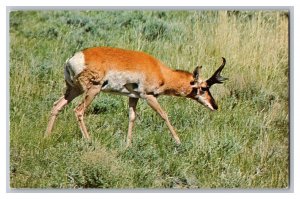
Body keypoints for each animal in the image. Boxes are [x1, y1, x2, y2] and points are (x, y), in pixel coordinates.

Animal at [45, 46, 227, 146]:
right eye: (204, 88)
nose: (215, 106)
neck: (161, 71)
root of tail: (74, 58)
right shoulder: (149, 96)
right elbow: (164, 115)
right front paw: (178, 141)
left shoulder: (134, 97)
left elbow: (131, 117)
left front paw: (128, 144)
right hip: (92, 90)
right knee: (78, 111)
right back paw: (89, 141)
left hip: (73, 90)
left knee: (56, 105)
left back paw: (46, 136)